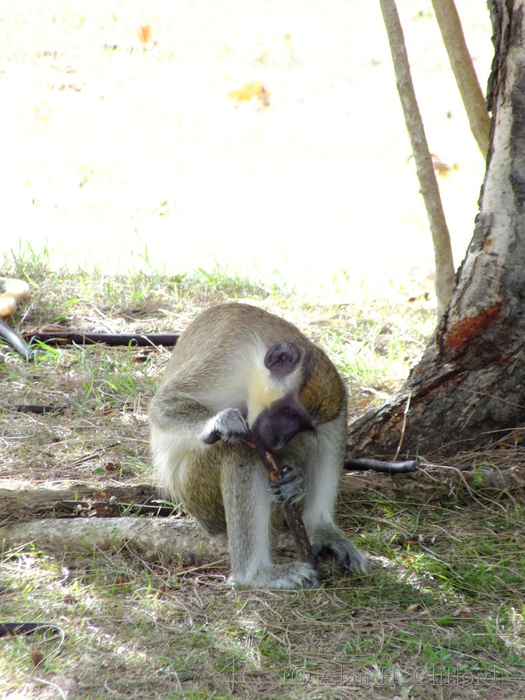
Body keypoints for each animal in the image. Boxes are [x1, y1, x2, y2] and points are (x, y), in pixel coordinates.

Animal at [148, 303, 367, 589]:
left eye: (302, 426)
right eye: (289, 412)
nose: (278, 441)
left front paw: (296, 480)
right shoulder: (226, 362)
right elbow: (163, 404)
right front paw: (220, 420)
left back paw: (319, 525)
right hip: (199, 495)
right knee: (241, 450)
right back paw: (254, 574)